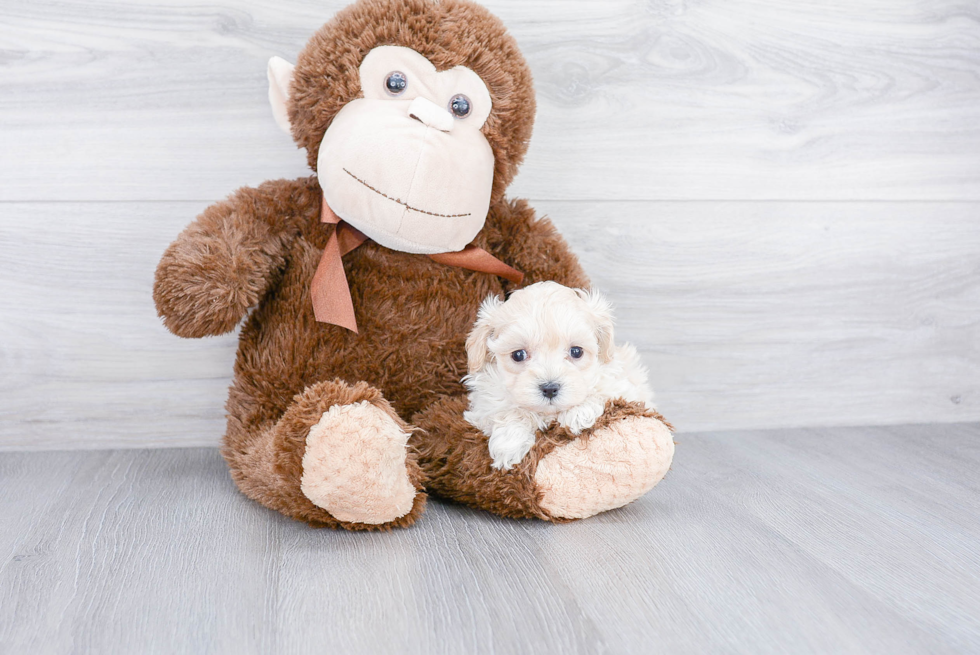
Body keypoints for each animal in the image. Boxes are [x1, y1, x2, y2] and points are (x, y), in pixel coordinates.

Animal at [464, 282, 656, 472]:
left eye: (576, 351)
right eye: (518, 355)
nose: (550, 389)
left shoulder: (623, 385)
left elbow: (601, 393)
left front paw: (579, 413)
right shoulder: (484, 404)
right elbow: (508, 412)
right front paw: (509, 443)